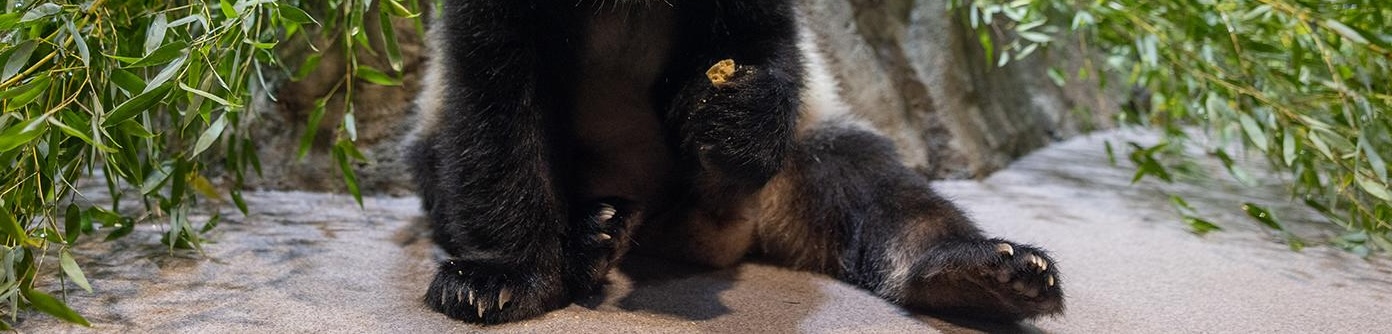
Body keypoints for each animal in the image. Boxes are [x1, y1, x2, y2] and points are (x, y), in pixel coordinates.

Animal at [403, 0, 1063, 322]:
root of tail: (719, 232)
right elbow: (498, 102)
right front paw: (499, 280)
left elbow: (766, 44)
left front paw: (731, 113)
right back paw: (595, 237)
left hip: (800, 163)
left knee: (878, 188)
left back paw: (982, 276)